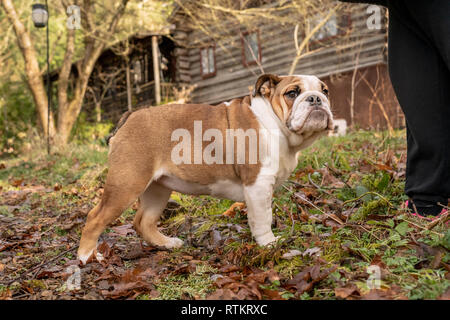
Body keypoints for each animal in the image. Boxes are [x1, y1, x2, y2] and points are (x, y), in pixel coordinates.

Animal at [77, 74, 332, 264]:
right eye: (292, 93)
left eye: (325, 91)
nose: (315, 99)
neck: (275, 123)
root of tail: (131, 116)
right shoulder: (258, 185)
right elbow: (262, 218)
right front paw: (270, 244)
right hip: (127, 183)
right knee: (95, 218)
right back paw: (87, 257)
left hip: (157, 188)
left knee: (143, 221)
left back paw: (167, 243)